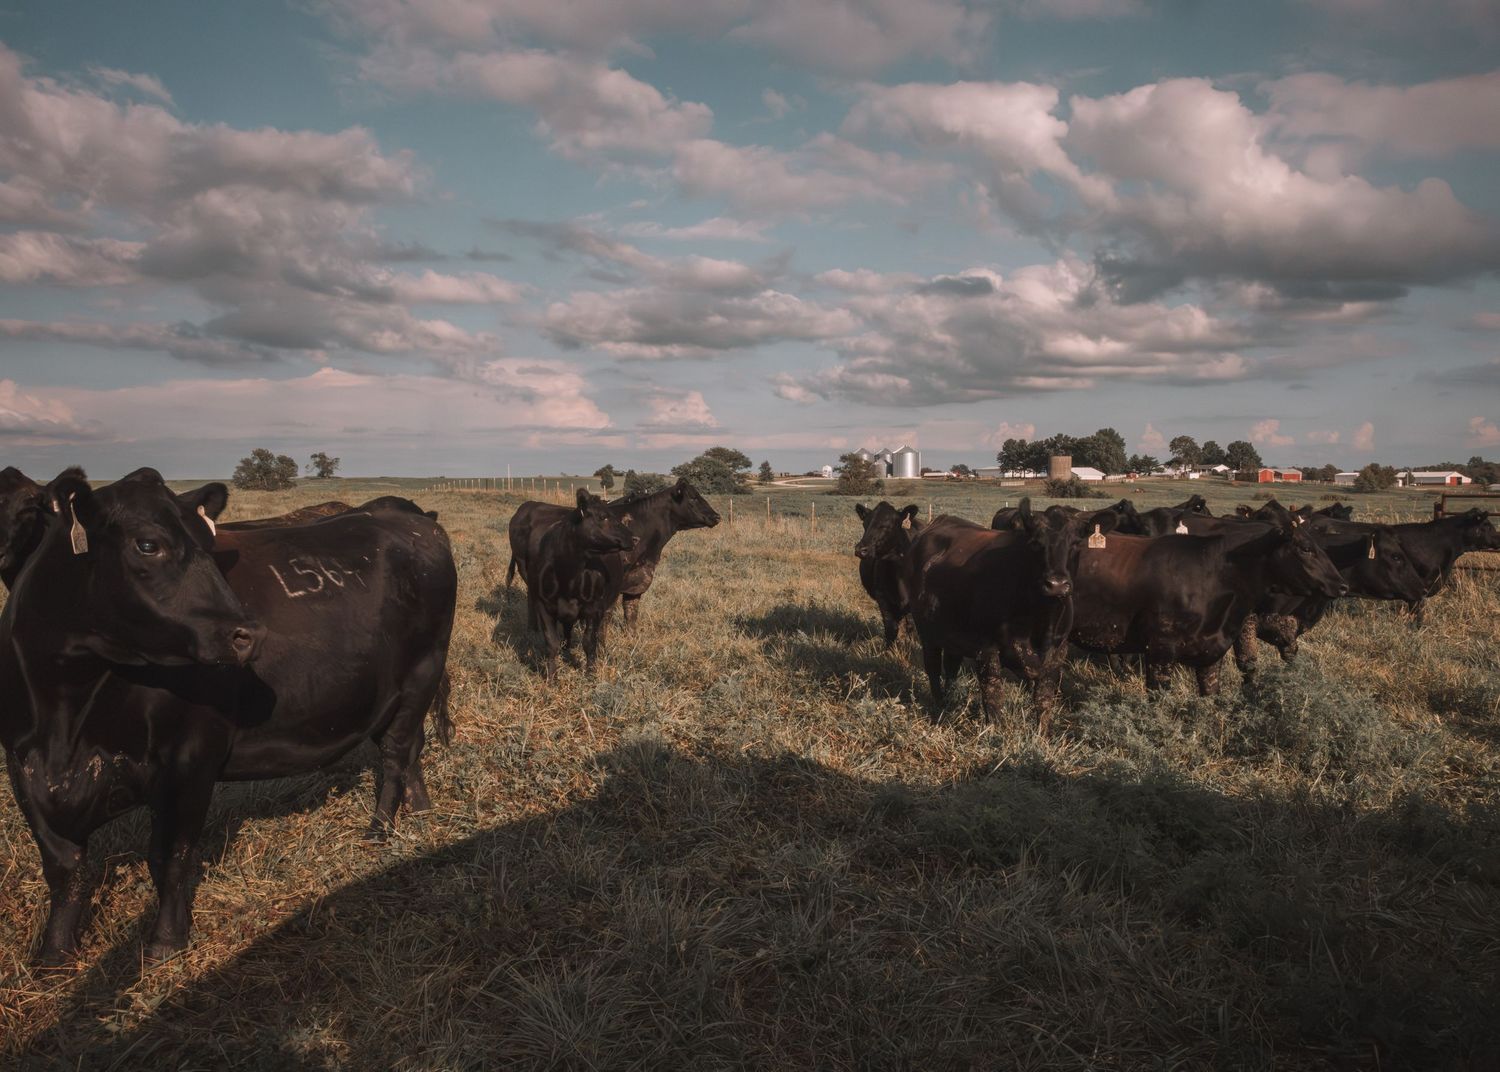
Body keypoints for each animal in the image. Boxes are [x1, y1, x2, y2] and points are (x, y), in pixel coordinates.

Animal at [1, 468, 457, 965]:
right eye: (148, 544)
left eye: (207, 544)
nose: (248, 633)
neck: (65, 718)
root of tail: (414, 520)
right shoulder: (24, 771)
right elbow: (64, 872)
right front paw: (54, 955)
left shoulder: (190, 758)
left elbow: (170, 855)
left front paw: (165, 941)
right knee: (408, 749)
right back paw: (419, 808)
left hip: (422, 672)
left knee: (395, 754)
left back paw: (379, 830)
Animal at [523, 488, 638, 679]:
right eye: (603, 517)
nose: (635, 538)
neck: (567, 577)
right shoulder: (544, 606)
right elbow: (552, 644)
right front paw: (551, 677)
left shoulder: (594, 609)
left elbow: (589, 643)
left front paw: (590, 674)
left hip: (608, 604)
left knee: (600, 631)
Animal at [853, 502, 921, 646]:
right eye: (865, 524)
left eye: (886, 525)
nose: (861, 550)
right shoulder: (883, 598)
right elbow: (891, 628)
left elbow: (912, 628)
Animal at [906, 500, 1115, 732]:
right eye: (1036, 543)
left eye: (1077, 543)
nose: (1056, 584)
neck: (1041, 623)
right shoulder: (986, 651)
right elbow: (993, 700)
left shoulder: (1057, 655)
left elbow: (1044, 703)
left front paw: (1040, 736)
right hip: (926, 632)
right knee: (933, 667)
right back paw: (940, 707)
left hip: (952, 634)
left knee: (951, 667)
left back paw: (951, 703)